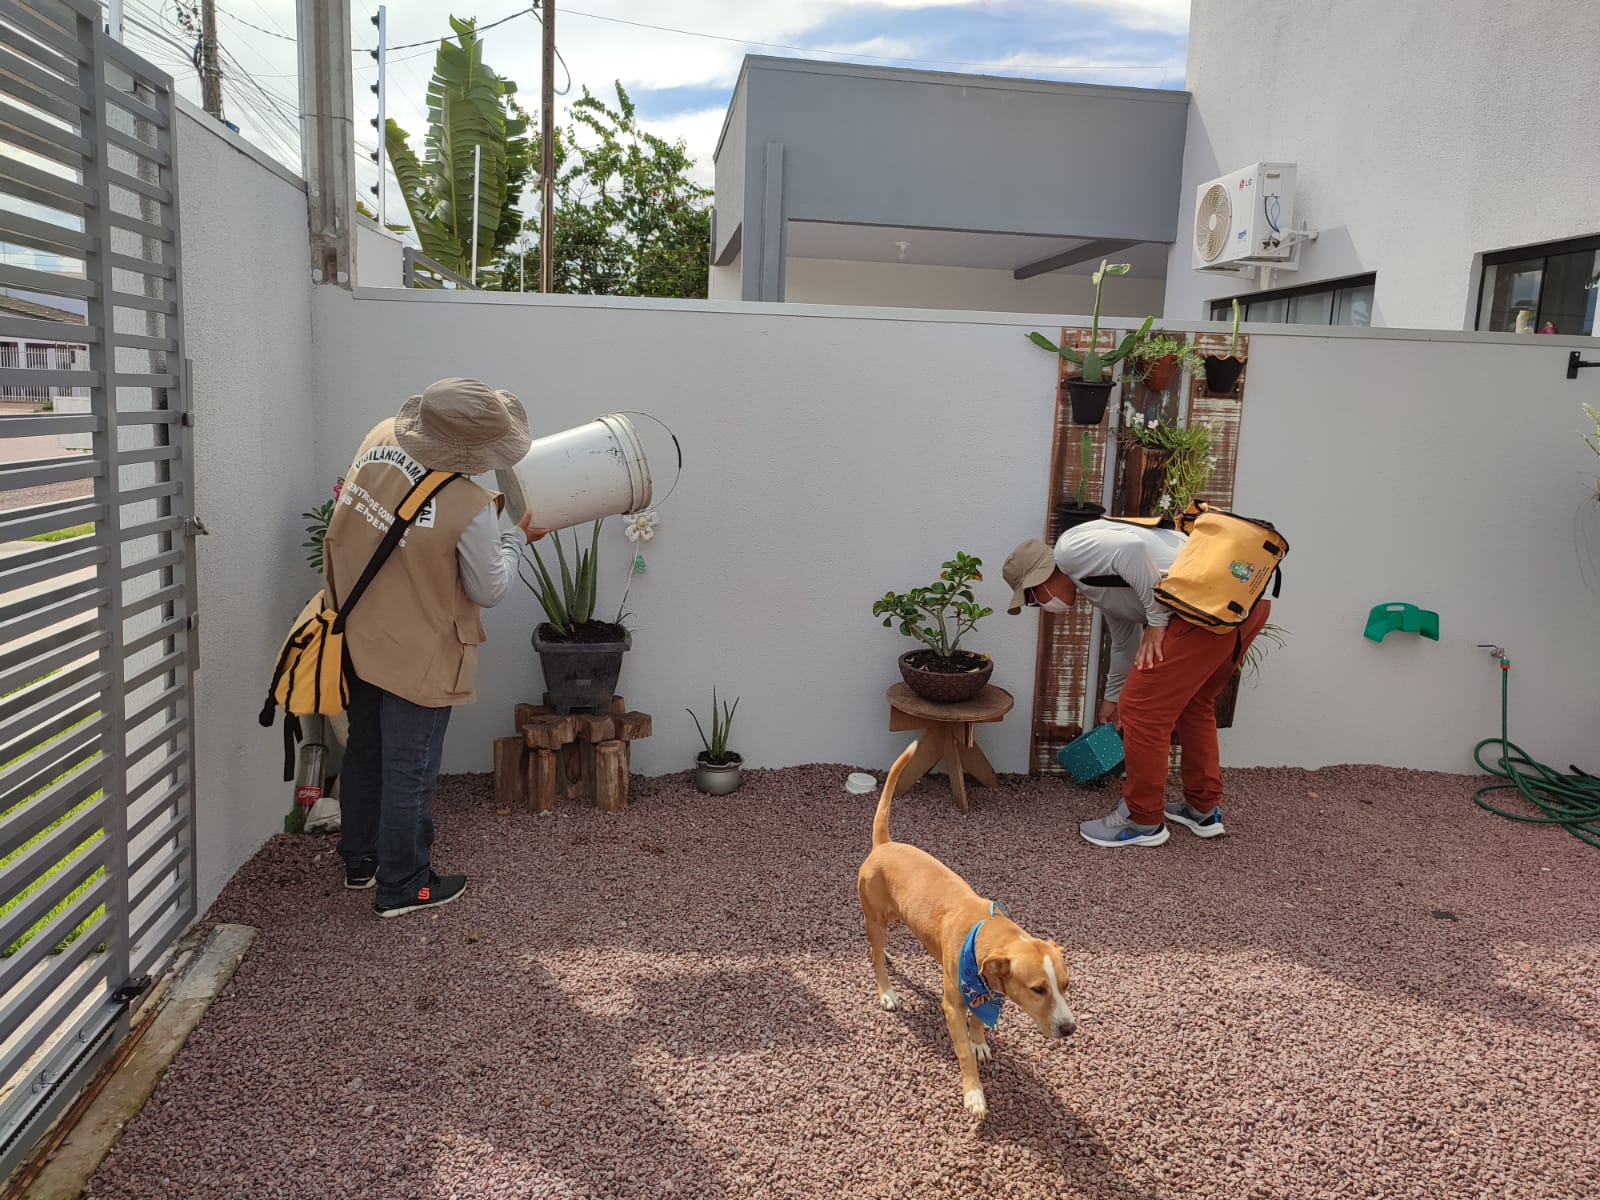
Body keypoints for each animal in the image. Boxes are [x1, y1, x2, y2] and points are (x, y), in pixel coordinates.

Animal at [857, 739, 1081, 1126]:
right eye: (1038, 989)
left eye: (1065, 985)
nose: (1069, 1029)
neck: (987, 932)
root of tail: (884, 844)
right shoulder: (953, 1004)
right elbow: (961, 1052)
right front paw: (974, 1094)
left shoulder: (988, 992)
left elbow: (978, 1024)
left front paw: (979, 1042)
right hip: (874, 915)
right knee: (874, 956)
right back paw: (886, 991)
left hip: (894, 916)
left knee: (879, 946)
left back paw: (885, 952)